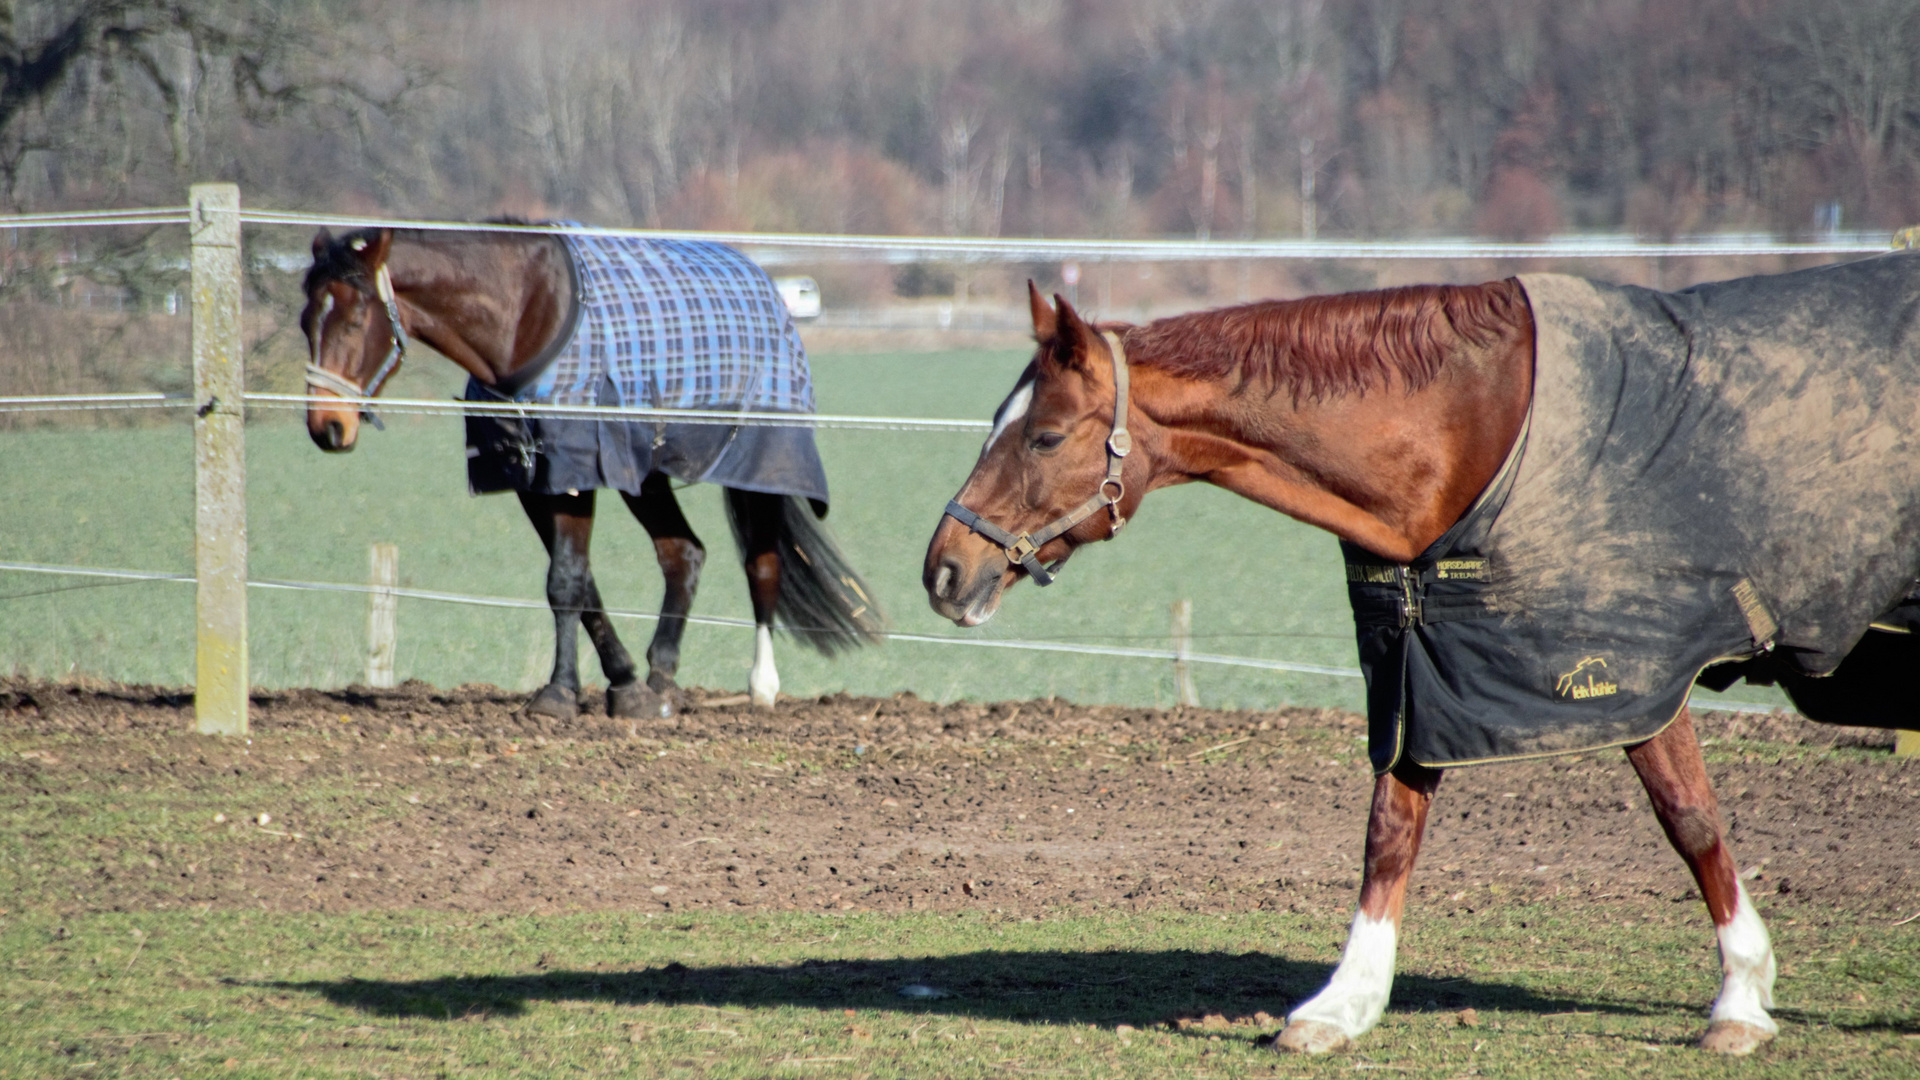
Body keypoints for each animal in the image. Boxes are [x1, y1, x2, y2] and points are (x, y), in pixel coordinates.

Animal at [301, 225, 883, 714]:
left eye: (355, 318)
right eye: (307, 321)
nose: (327, 427)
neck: (525, 314)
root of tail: (763, 282)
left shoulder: (576, 473)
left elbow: (566, 581)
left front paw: (559, 695)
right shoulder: (536, 480)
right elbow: (579, 585)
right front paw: (623, 686)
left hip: (762, 463)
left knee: (761, 566)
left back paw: (761, 686)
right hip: (646, 477)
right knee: (683, 554)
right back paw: (661, 679)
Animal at [921, 272, 1912, 1053]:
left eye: (1045, 437)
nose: (944, 570)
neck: (1477, 425)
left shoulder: (1634, 671)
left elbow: (1691, 819)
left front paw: (1741, 998)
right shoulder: (1423, 672)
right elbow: (1389, 833)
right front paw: (1341, 1005)